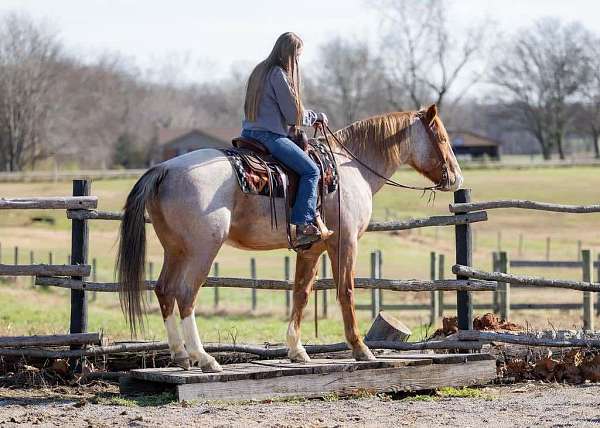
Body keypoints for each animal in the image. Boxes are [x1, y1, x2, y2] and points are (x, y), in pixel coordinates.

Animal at [117, 103, 464, 372]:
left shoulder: (310, 250)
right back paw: (204, 359)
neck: (351, 168)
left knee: (164, 290)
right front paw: (361, 349)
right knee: (186, 295)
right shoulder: (345, 243)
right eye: (442, 137)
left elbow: (301, 294)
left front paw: (297, 351)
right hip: (202, 250)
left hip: (175, 250)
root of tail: (164, 168)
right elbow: (346, 291)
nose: (456, 178)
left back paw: (180, 355)